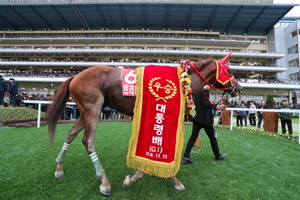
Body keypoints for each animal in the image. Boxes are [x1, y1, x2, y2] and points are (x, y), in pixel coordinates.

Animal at [46, 52, 241, 196]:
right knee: (88, 141)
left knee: (71, 134)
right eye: (230, 69)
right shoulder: (161, 118)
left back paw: (58, 168)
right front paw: (135, 179)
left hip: (84, 112)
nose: (239, 88)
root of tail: (75, 75)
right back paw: (104, 181)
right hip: (93, 109)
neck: (182, 82)